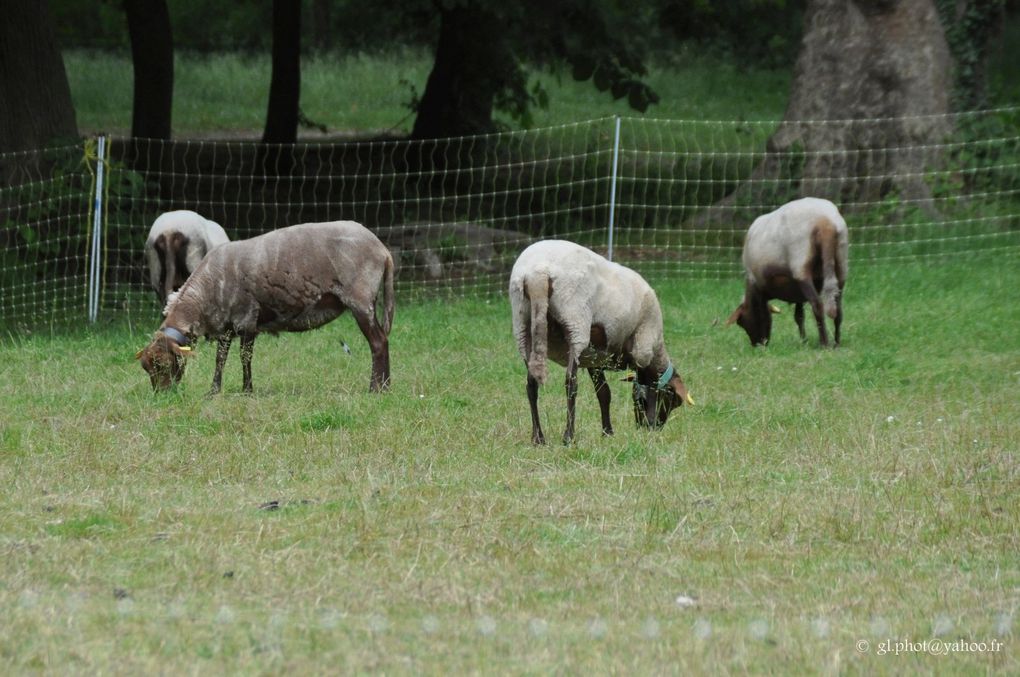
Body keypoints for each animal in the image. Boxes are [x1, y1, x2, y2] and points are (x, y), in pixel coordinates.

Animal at [141, 219, 395, 393]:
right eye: (147, 368)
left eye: (163, 365)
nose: (163, 396)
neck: (205, 293)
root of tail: (382, 250)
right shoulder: (225, 326)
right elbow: (220, 359)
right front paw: (213, 391)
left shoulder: (246, 319)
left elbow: (245, 357)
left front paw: (247, 390)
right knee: (382, 340)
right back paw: (386, 386)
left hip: (360, 299)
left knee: (379, 342)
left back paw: (376, 389)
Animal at [510, 240, 693, 446]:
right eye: (672, 400)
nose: (653, 428)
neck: (656, 353)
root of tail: (537, 273)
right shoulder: (642, 348)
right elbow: (641, 389)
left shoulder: (593, 357)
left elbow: (604, 393)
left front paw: (607, 432)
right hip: (575, 320)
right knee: (571, 384)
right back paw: (568, 436)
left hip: (522, 324)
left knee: (531, 384)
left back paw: (538, 438)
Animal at [726, 194, 852, 344]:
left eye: (741, 322)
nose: (758, 345)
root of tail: (825, 221)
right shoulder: (796, 289)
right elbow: (799, 316)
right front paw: (804, 341)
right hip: (841, 262)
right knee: (838, 308)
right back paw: (837, 342)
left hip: (801, 265)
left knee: (818, 305)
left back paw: (824, 343)